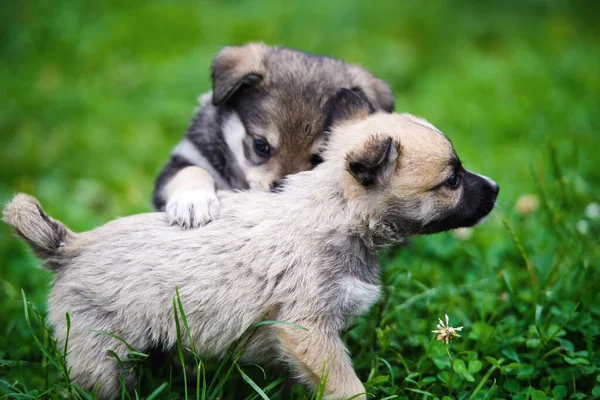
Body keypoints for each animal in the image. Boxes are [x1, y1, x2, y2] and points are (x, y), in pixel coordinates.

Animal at [4, 90, 500, 400]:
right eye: (451, 180)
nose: (496, 188)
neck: (334, 215)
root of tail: (70, 247)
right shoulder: (308, 331)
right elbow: (347, 386)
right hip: (101, 360)